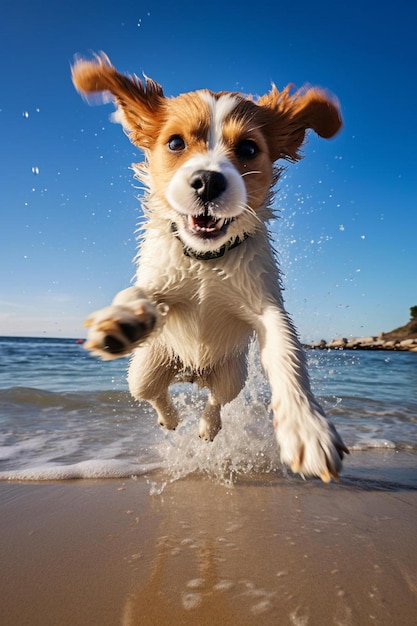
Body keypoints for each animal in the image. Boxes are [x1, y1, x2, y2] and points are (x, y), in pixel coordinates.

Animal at [72, 54, 348, 482]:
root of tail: (192, 372)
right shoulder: (162, 282)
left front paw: (306, 427)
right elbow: (138, 292)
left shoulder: (265, 304)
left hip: (231, 375)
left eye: (249, 148)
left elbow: (286, 349)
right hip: (145, 369)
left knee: (216, 401)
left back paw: (206, 427)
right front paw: (124, 317)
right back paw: (170, 419)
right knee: (154, 395)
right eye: (175, 142)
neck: (206, 260)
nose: (207, 181)